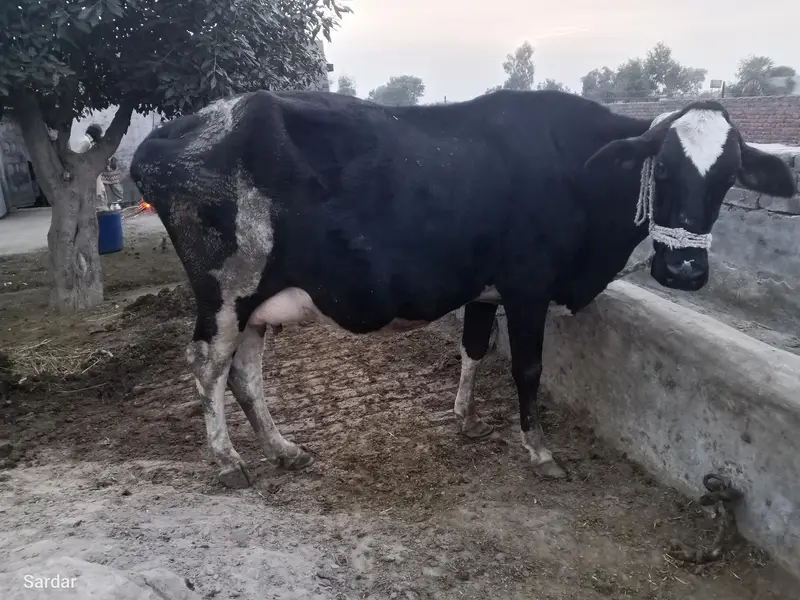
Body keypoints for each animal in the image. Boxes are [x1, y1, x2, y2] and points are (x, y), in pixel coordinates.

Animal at [130, 89, 795, 488]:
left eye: (728, 176)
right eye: (666, 168)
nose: (685, 272)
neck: (577, 167)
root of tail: (179, 129)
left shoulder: (485, 288)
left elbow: (474, 347)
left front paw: (465, 418)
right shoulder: (528, 287)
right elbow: (527, 369)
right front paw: (540, 451)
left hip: (258, 297)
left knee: (245, 372)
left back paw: (282, 448)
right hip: (225, 287)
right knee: (208, 363)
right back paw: (227, 461)